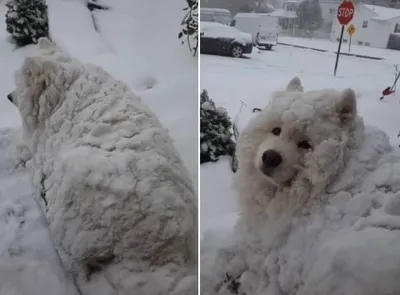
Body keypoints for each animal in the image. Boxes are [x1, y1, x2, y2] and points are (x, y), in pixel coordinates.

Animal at [8, 38, 198, 295]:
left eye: (18, 84)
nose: (8, 96)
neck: (65, 89)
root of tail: (162, 250)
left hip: (72, 182)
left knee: (76, 266)